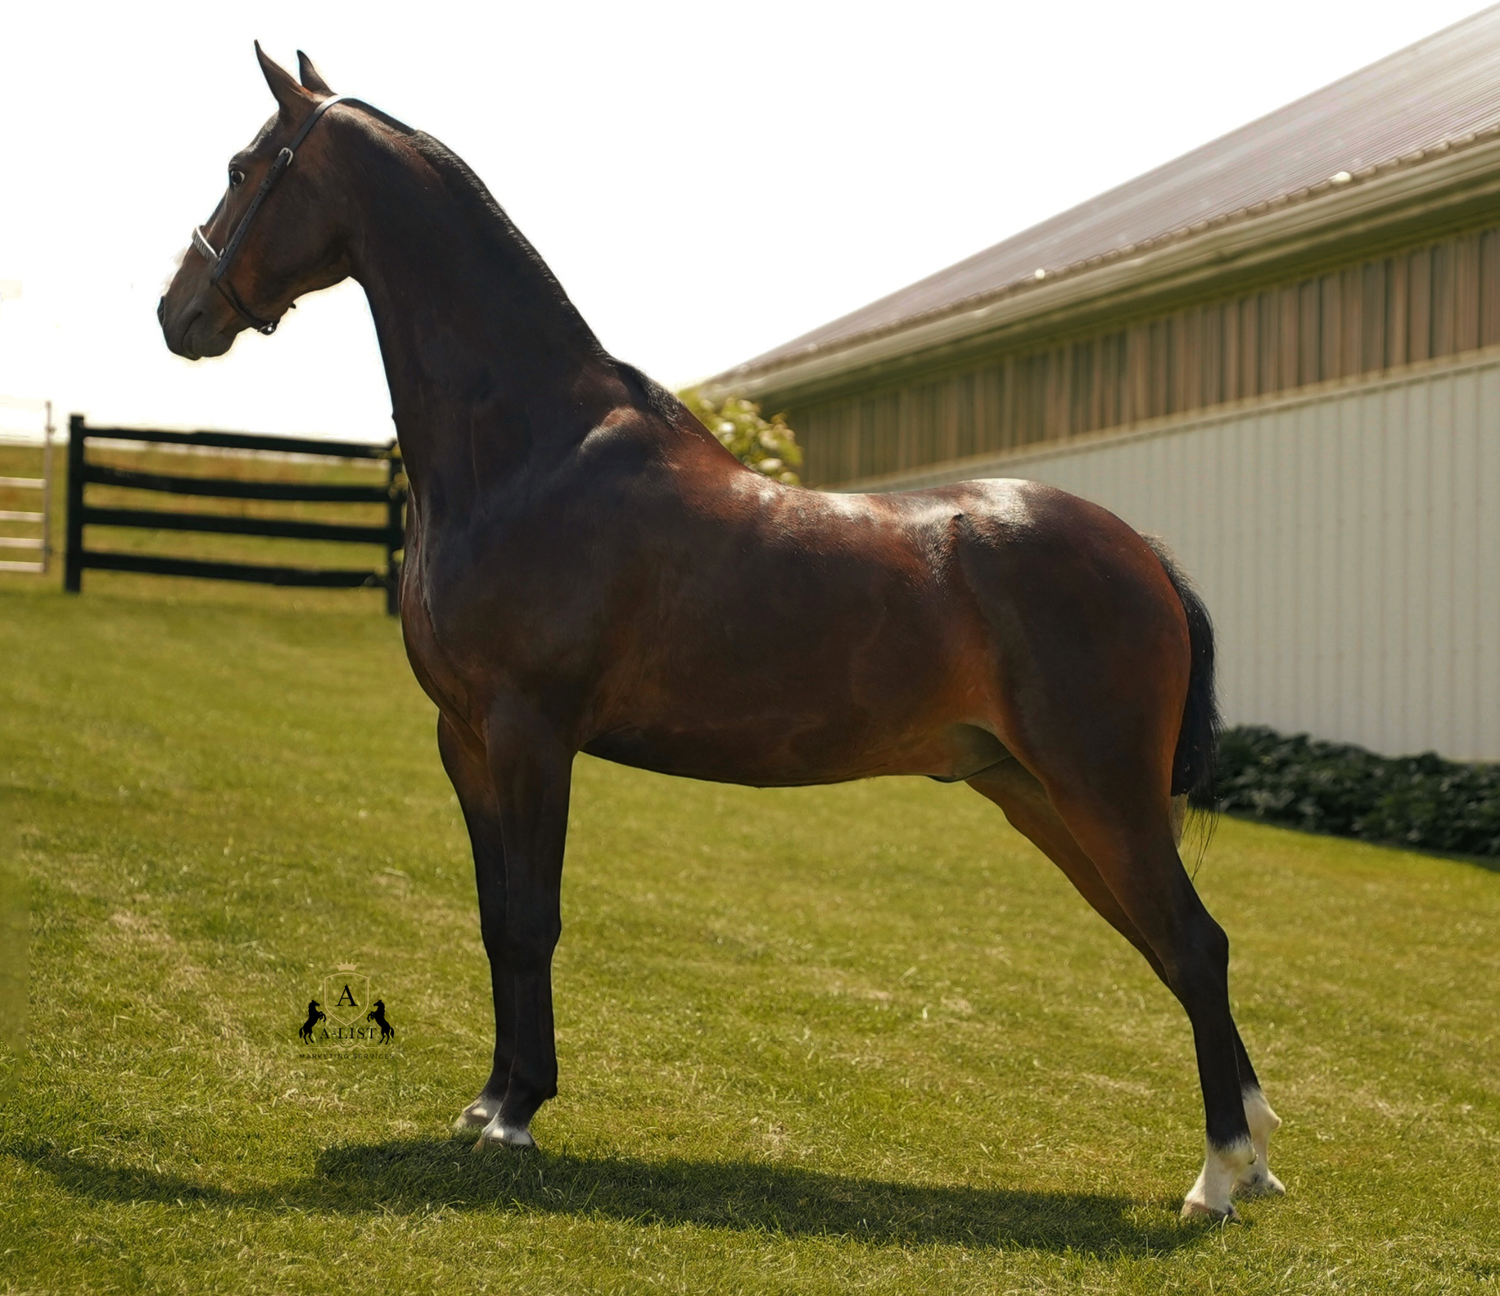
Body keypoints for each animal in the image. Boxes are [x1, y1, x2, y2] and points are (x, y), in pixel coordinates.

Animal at [159, 45, 1284, 1221]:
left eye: (243, 168)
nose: (177, 314)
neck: (526, 450)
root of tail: (1144, 552)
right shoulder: (462, 738)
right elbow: (492, 915)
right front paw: (487, 1100)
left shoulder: (528, 734)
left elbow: (531, 918)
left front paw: (518, 1114)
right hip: (1039, 794)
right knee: (1170, 947)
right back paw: (1249, 1156)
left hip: (1099, 791)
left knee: (1195, 946)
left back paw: (1217, 1179)